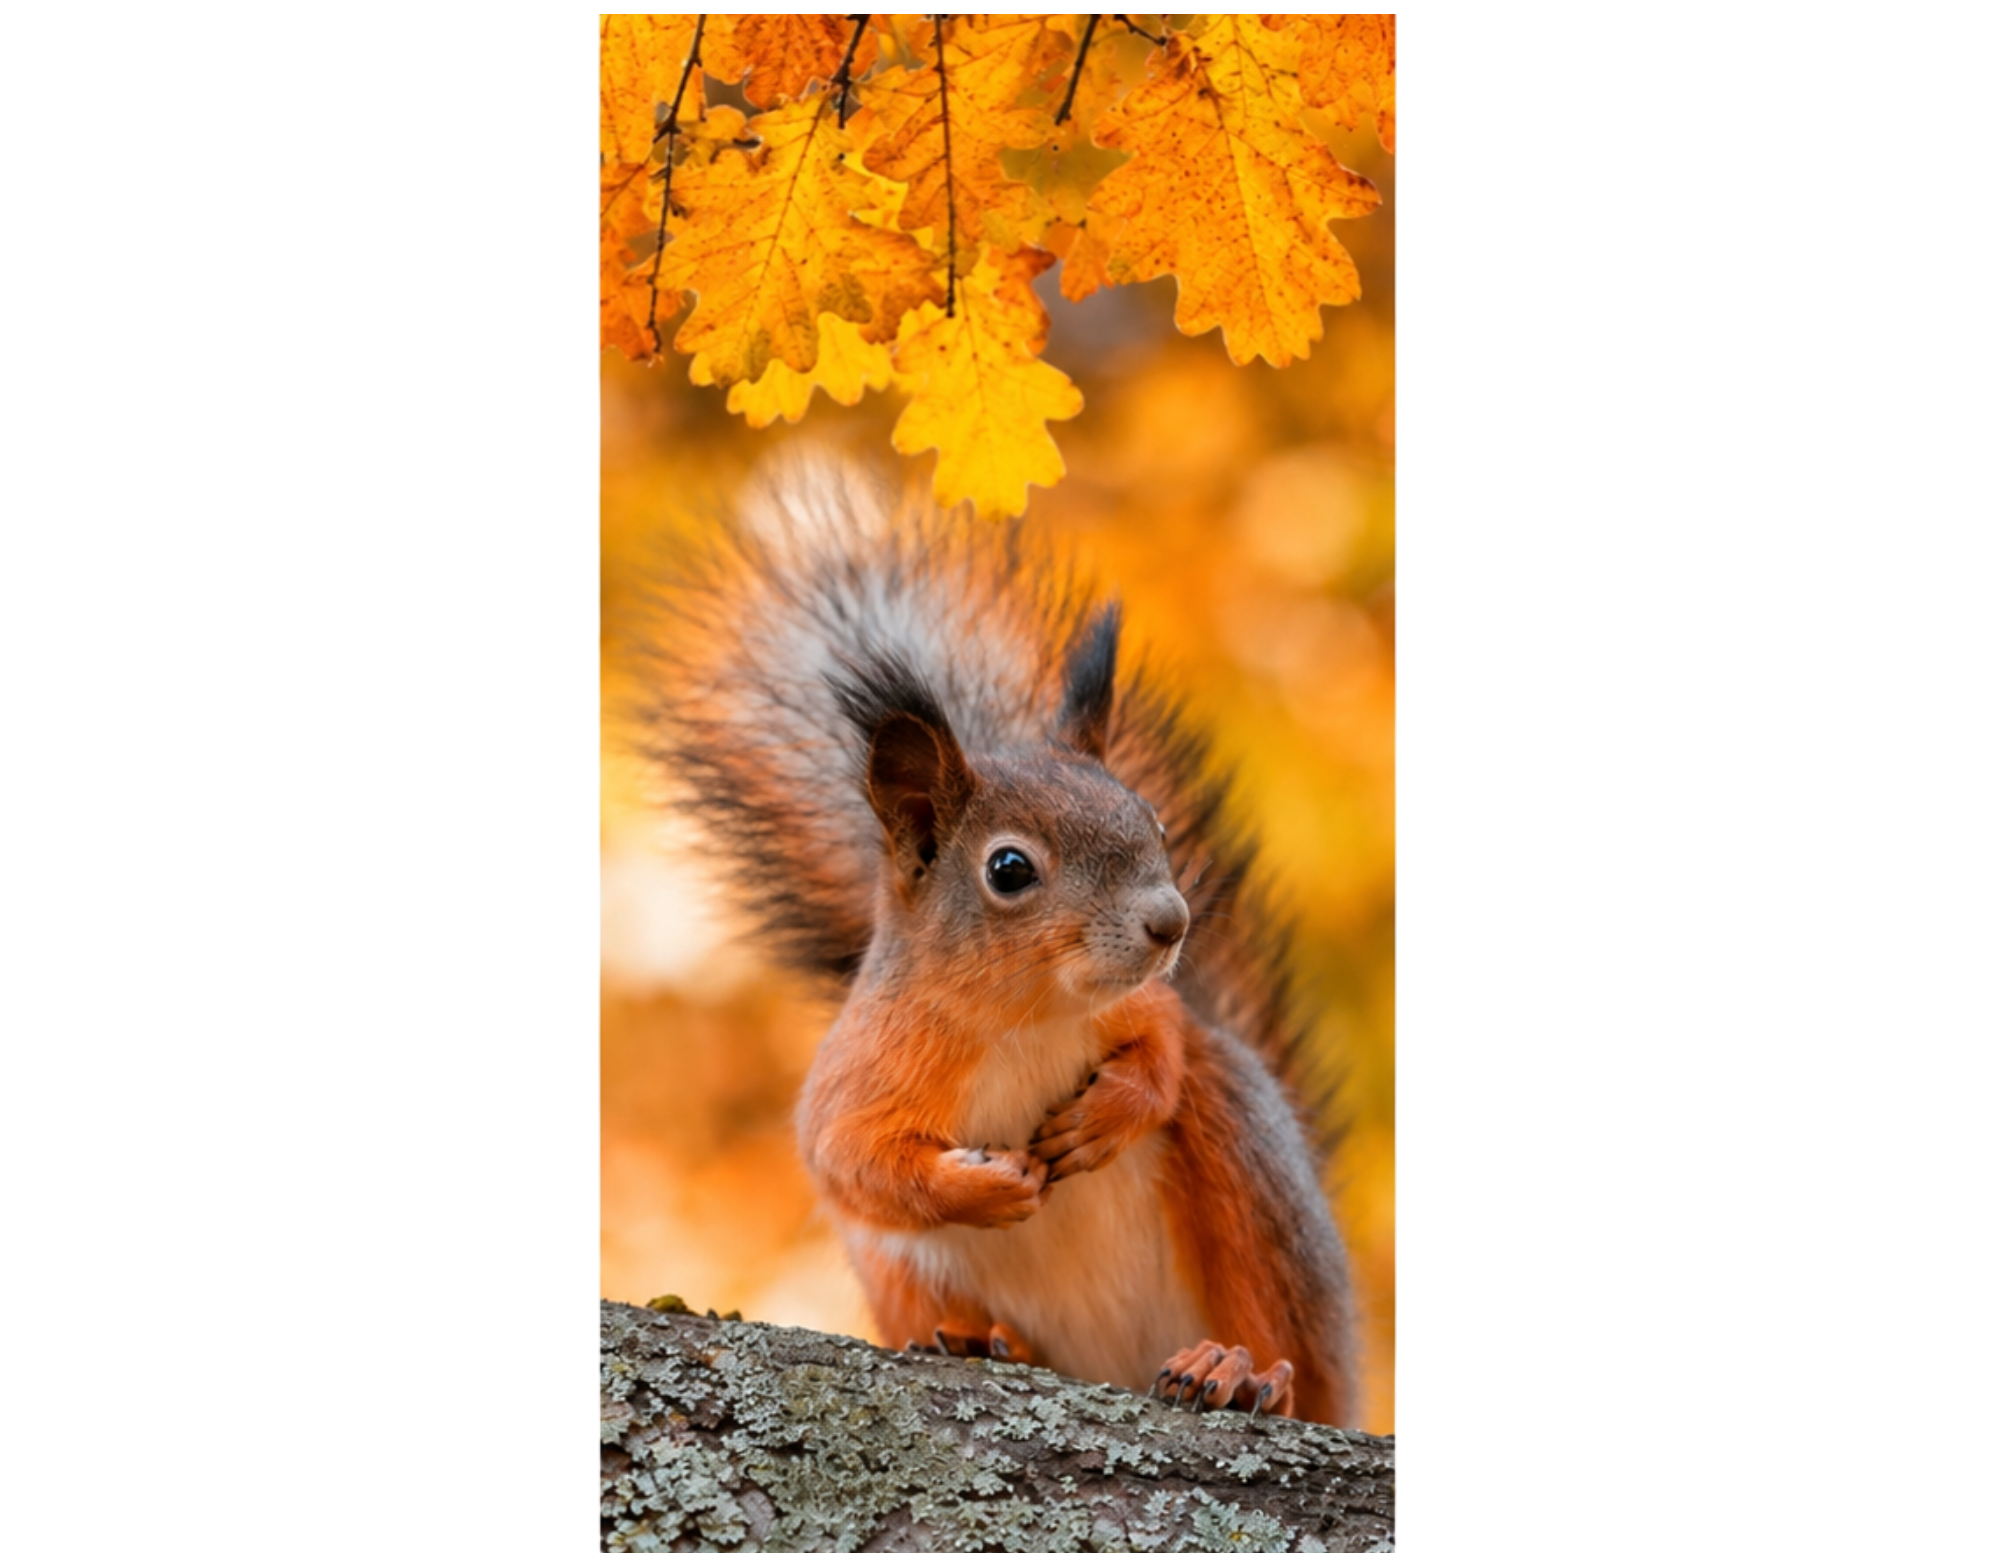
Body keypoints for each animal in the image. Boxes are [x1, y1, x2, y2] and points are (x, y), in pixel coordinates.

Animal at [643, 469, 1356, 1426]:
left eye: (1153, 823)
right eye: (1009, 869)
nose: (1171, 921)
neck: (1028, 1017)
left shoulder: (1144, 1004)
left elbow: (1167, 1042)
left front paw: (1110, 1111)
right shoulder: (860, 1073)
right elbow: (853, 1161)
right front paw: (985, 1186)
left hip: (1248, 1162)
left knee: (1281, 1336)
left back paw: (1240, 1369)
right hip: (896, 1267)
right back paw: (983, 1340)